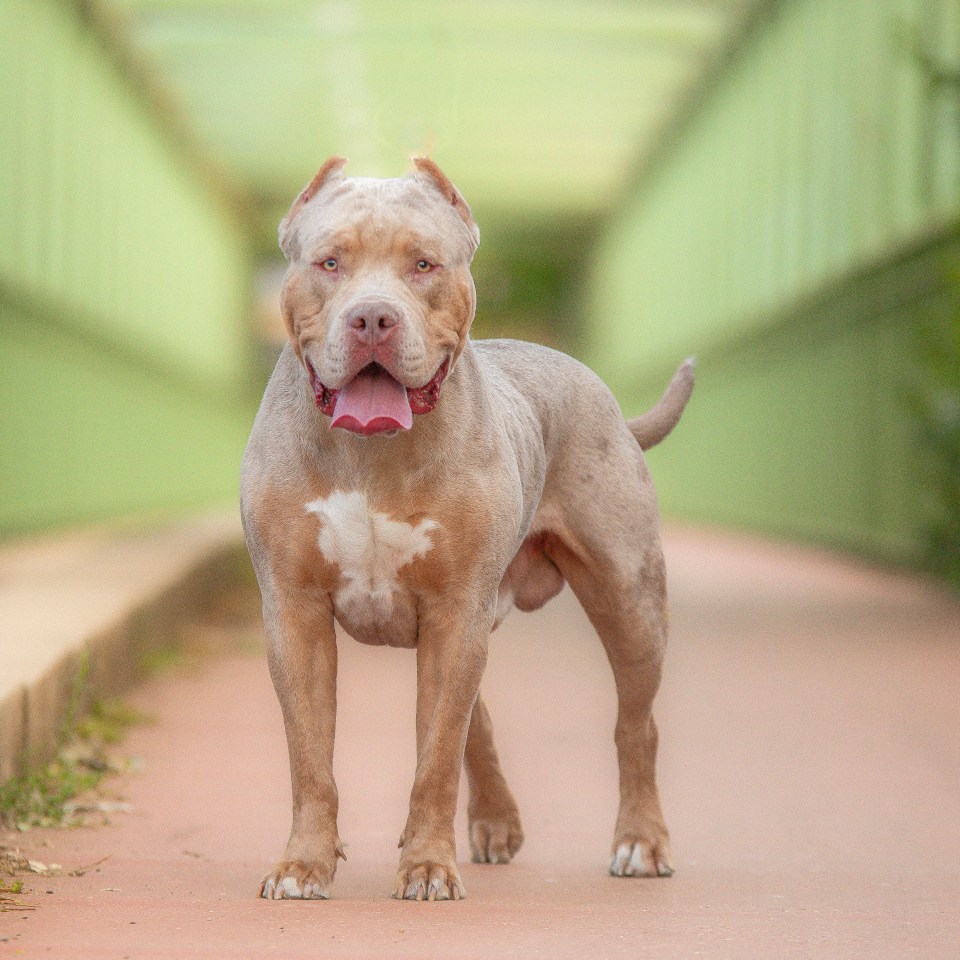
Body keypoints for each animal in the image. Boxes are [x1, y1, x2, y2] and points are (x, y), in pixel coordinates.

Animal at [238, 156, 688, 900]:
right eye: (330, 262)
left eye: (423, 264)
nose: (372, 317)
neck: (373, 452)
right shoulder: (295, 612)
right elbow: (310, 757)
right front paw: (304, 862)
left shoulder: (454, 609)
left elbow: (436, 758)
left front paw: (425, 865)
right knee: (478, 716)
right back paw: (497, 820)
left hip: (626, 600)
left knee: (636, 726)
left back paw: (640, 842)